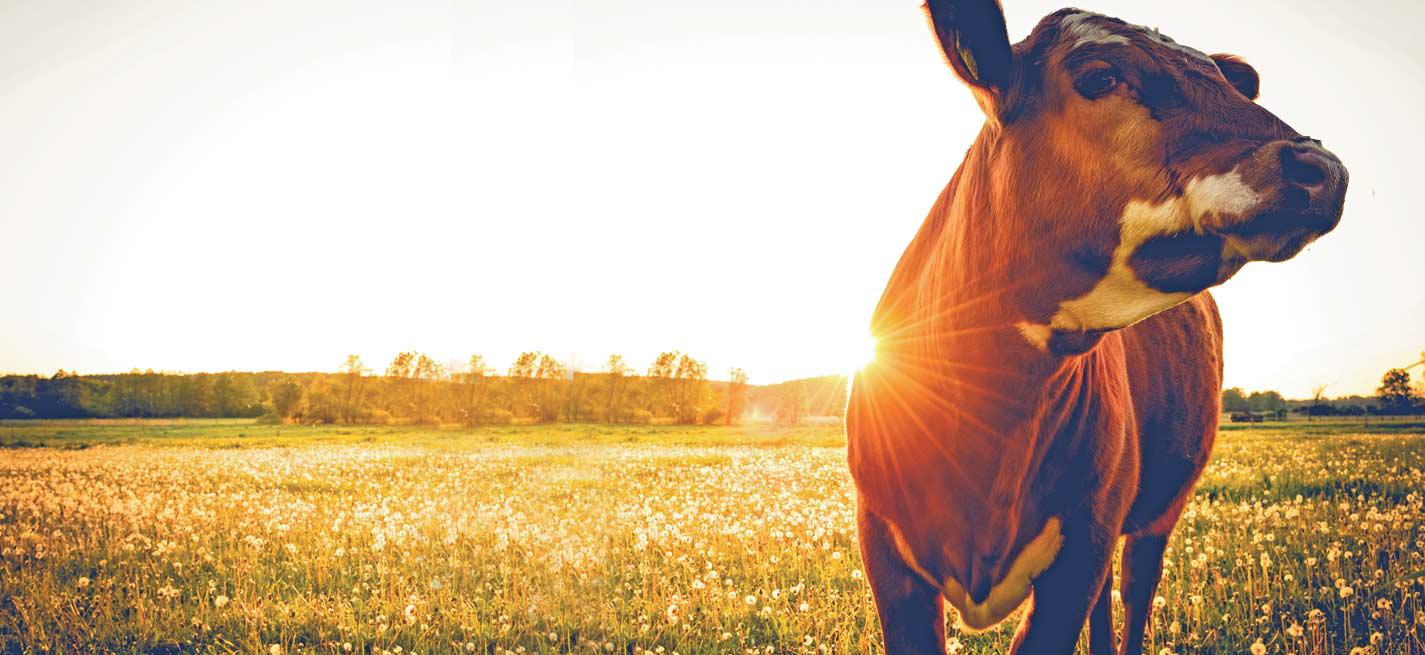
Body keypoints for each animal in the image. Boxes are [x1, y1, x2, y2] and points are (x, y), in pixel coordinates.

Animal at [843, 2, 1345, 652]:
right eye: (1100, 77)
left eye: (1227, 81)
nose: (1323, 169)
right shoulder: (883, 544)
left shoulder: (1083, 543)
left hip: (1158, 507)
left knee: (1134, 587)